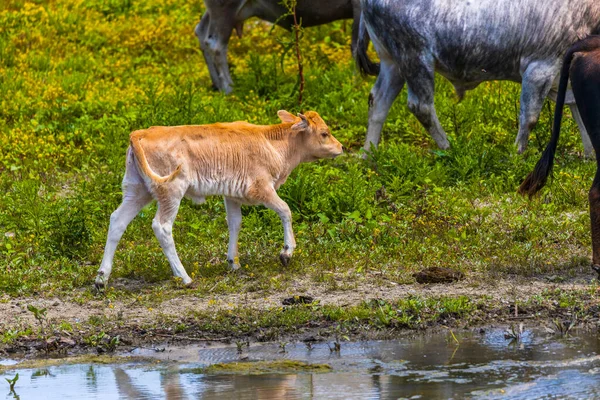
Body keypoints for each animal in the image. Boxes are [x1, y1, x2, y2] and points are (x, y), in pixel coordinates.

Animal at [196, 0, 376, 94]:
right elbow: (357, 48)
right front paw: (356, 87)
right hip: (224, 8)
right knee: (215, 44)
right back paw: (229, 89)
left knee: (201, 31)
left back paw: (217, 85)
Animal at [356, 0, 600, 155]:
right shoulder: (540, 67)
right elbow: (529, 118)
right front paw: (517, 156)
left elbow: (578, 109)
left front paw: (590, 155)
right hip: (415, 58)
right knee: (421, 106)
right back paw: (449, 149)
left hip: (393, 63)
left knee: (378, 101)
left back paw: (369, 155)